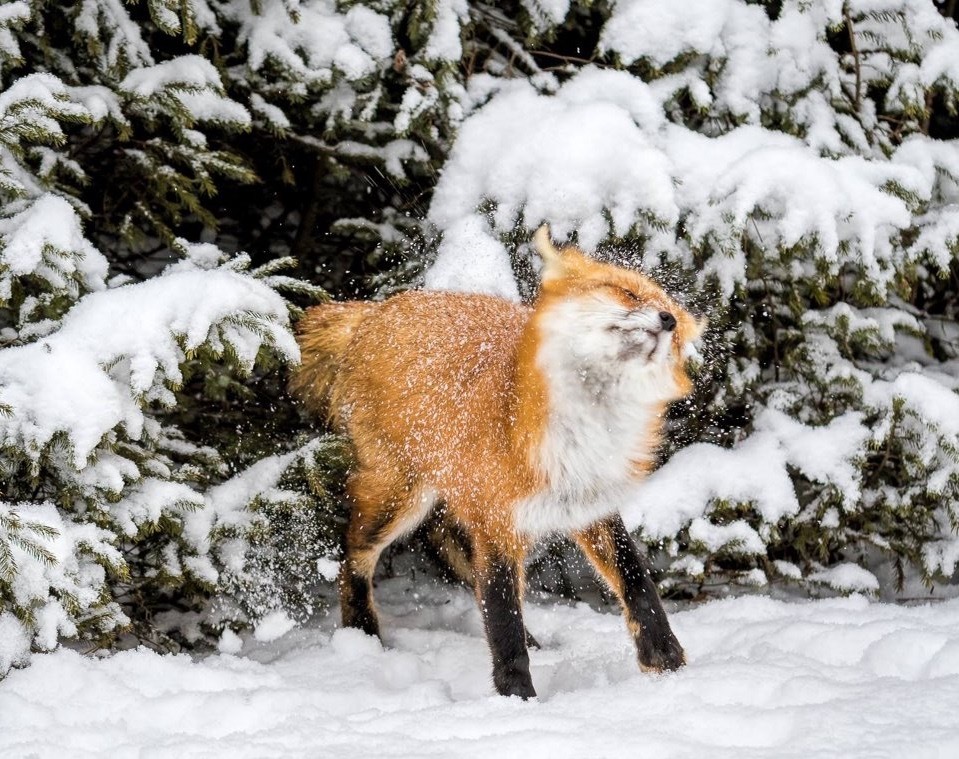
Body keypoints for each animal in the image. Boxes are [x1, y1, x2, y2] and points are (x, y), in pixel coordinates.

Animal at [292, 227, 704, 700]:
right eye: (628, 293)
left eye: (677, 328)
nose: (668, 321)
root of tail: (377, 310)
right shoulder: (497, 520)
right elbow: (504, 620)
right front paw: (516, 698)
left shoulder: (589, 502)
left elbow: (637, 583)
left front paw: (667, 664)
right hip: (399, 497)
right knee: (353, 557)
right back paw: (362, 634)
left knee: (454, 560)